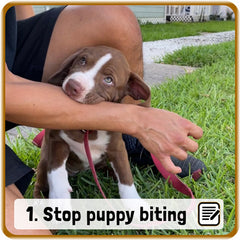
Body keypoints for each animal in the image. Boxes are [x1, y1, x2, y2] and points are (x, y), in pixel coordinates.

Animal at [33, 46, 150, 200]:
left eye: (108, 80)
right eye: (82, 60)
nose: (73, 85)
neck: (87, 128)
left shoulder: (117, 147)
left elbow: (125, 177)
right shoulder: (56, 140)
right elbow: (56, 170)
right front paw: (59, 194)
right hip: (43, 162)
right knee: (40, 182)